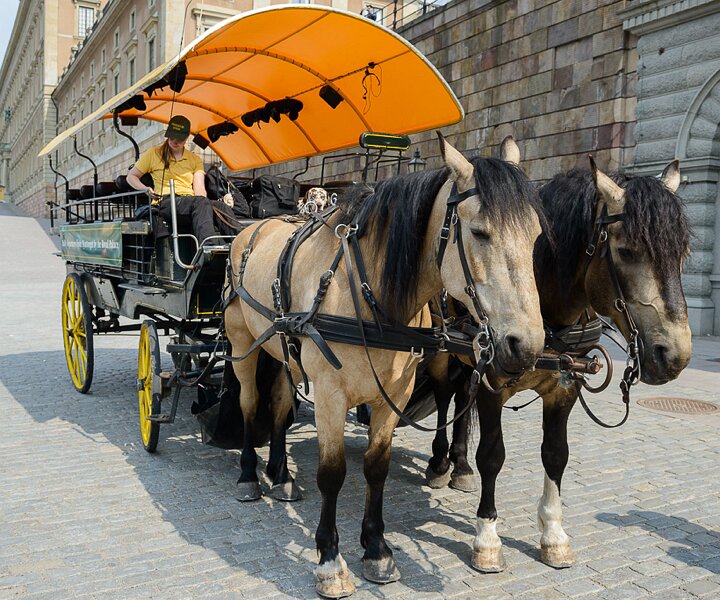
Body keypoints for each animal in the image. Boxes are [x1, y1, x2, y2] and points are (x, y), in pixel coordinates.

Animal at [223, 135, 546, 597]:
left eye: (536, 235)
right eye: (479, 232)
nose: (526, 346)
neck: (368, 294)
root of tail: (252, 228)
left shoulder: (393, 394)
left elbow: (377, 467)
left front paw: (376, 548)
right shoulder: (330, 395)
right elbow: (333, 473)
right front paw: (330, 559)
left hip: (283, 350)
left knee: (281, 408)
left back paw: (281, 475)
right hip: (242, 344)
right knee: (251, 406)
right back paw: (250, 475)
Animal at [420, 159, 692, 573]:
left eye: (683, 252)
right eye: (627, 251)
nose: (676, 355)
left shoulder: (564, 388)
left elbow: (556, 454)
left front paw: (553, 534)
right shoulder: (493, 385)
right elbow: (493, 456)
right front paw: (487, 538)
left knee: (462, 396)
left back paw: (460, 466)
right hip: (440, 353)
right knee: (444, 394)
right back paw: (439, 464)